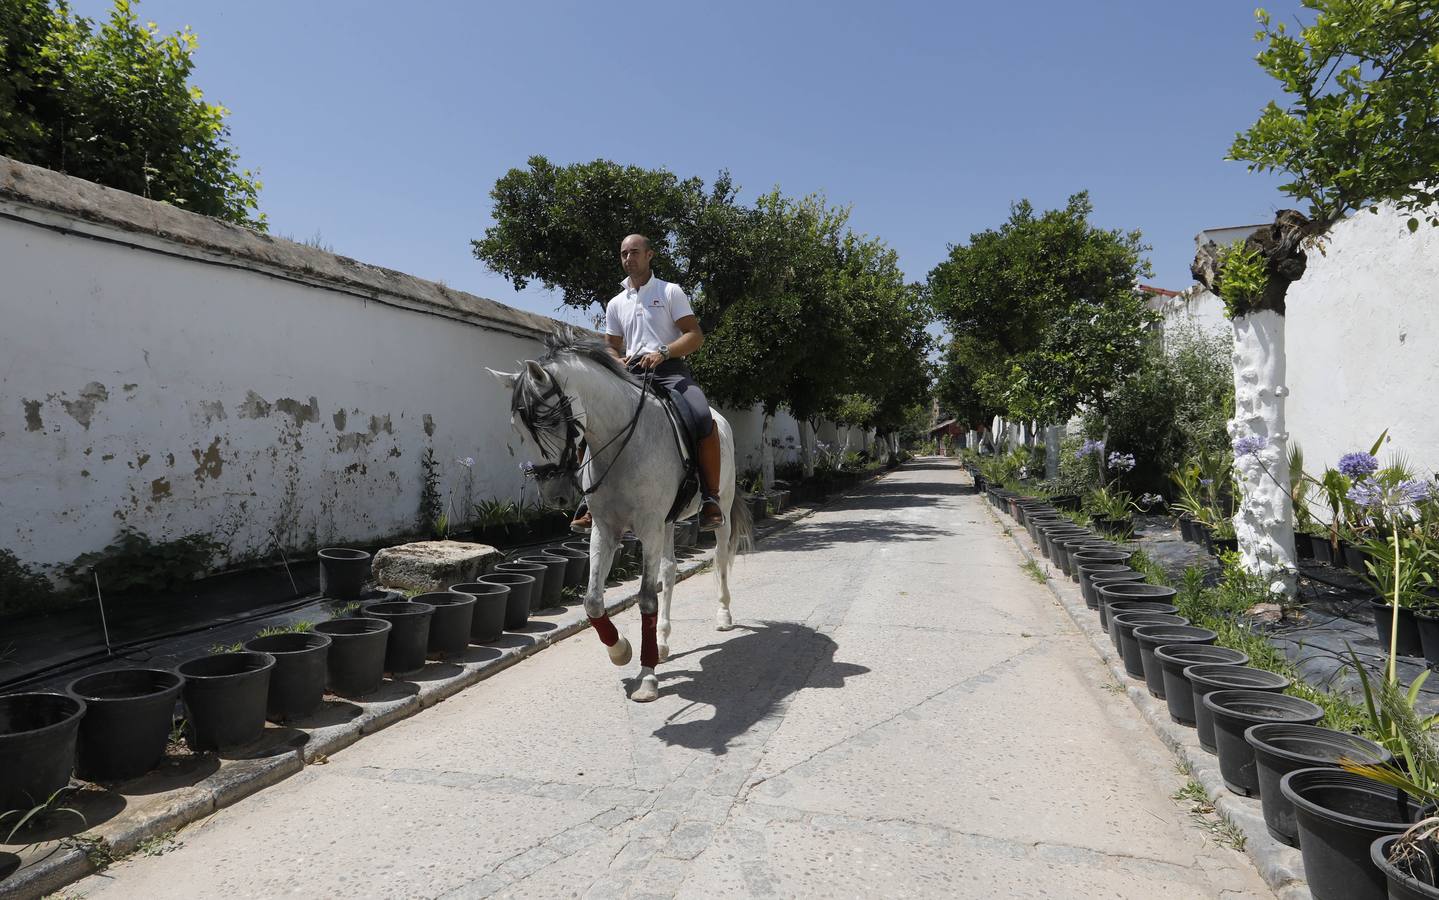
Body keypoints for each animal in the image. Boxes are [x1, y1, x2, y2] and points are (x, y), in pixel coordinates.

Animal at [489, 328, 754, 702]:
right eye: (517, 429)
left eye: (552, 420)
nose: (554, 494)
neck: (622, 444)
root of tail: (721, 419)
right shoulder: (606, 529)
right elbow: (592, 602)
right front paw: (621, 651)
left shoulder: (648, 527)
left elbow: (646, 598)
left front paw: (646, 677)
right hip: (667, 523)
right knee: (670, 570)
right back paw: (662, 642)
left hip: (720, 512)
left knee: (719, 557)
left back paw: (723, 615)